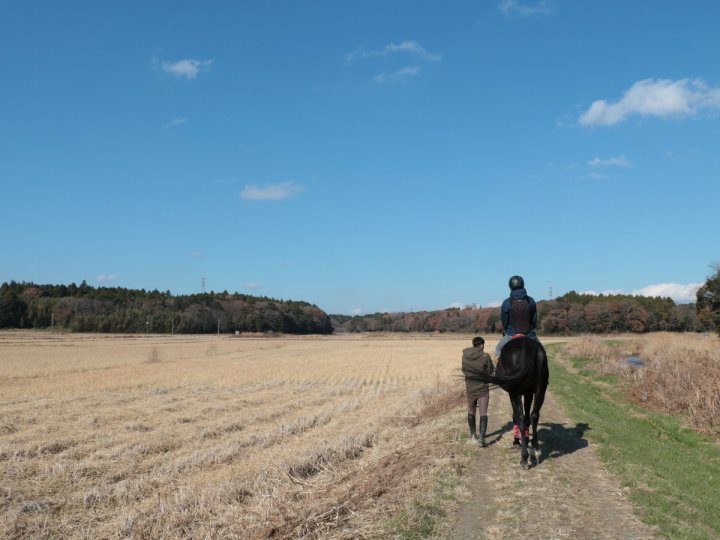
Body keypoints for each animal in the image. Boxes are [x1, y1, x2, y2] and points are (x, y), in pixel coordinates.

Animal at [466, 338, 544, 468]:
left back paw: (524, 458)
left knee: (520, 418)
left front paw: (517, 440)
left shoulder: (514, 394)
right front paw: (526, 440)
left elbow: (516, 417)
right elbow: (528, 418)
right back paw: (535, 450)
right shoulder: (528, 393)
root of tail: (528, 346)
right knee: (534, 416)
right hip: (540, 390)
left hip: (515, 393)